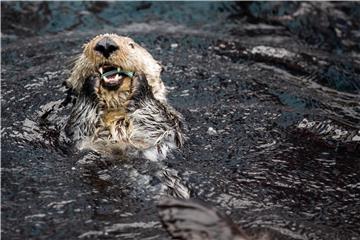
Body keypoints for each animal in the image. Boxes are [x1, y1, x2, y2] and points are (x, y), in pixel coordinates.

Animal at [63, 33, 186, 161]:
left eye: (131, 45)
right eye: (85, 47)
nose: (105, 44)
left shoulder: (170, 125)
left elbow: (156, 123)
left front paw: (141, 80)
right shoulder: (74, 137)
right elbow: (78, 126)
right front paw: (91, 82)